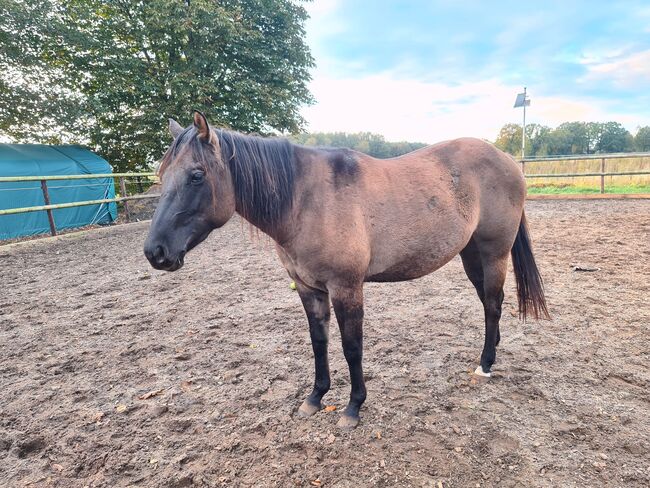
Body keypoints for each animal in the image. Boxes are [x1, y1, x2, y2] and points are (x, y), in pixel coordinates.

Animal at [143, 109, 548, 428]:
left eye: (196, 175)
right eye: (161, 174)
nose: (155, 252)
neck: (305, 200)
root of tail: (507, 161)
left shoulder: (346, 288)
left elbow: (352, 347)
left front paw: (353, 407)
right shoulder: (309, 289)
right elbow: (318, 342)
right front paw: (315, 398)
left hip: (494, 253)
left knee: (492, 304)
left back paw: (485, 365)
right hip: (471, 255)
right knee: (489, 303)